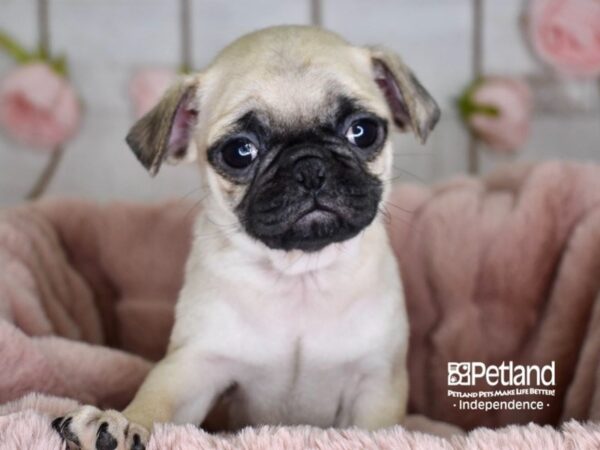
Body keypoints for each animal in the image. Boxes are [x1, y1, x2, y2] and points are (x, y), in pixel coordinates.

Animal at [54, 25, 438, 450]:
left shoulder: (375, 383)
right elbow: (156, 399)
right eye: (240, 151)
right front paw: (122, 423)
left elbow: (374, 432)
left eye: (362, 131)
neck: (299, 274)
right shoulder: (194, 364)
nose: (309, 167)